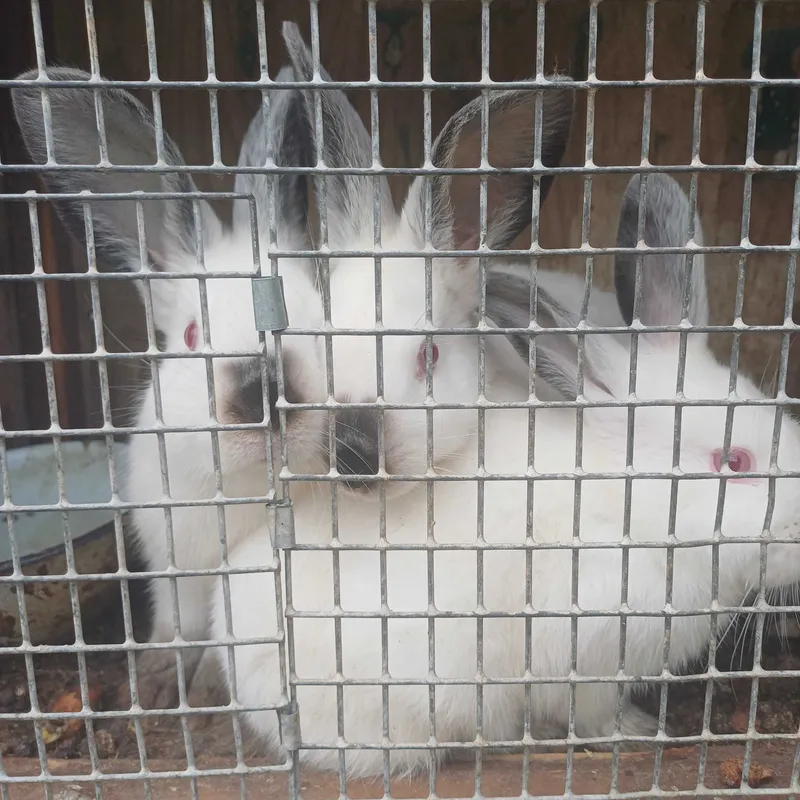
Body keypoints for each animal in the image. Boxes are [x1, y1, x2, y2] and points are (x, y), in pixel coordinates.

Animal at [10, 20, 576, 711]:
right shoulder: (175, 562)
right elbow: (178, 622)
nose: (258, 390)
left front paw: (206, 686)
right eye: (191, 335)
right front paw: (163, 680)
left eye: (298, 315)